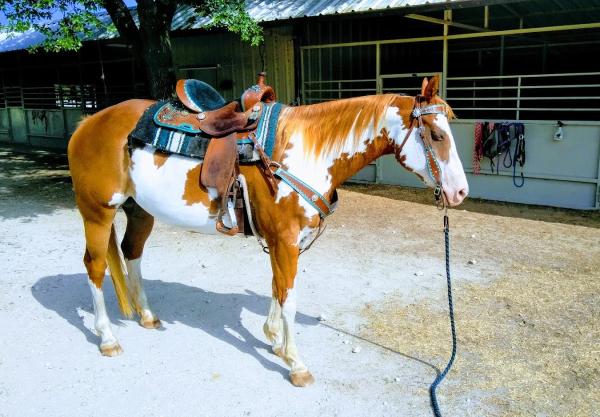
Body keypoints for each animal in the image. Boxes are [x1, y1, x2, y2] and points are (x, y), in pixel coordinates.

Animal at [67, 75, 468, 386]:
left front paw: (275, 341)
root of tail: (87, 123)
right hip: (97, 213)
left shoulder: (284, 243)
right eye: (436, 135)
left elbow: (276, 288)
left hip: (139, 211)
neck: (305, 152)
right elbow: (289, 298)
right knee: (95, 266)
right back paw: (107, 338)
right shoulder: (285, 242)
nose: (460, 193)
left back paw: (147, 316)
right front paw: (296, 363)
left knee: (132, 253)